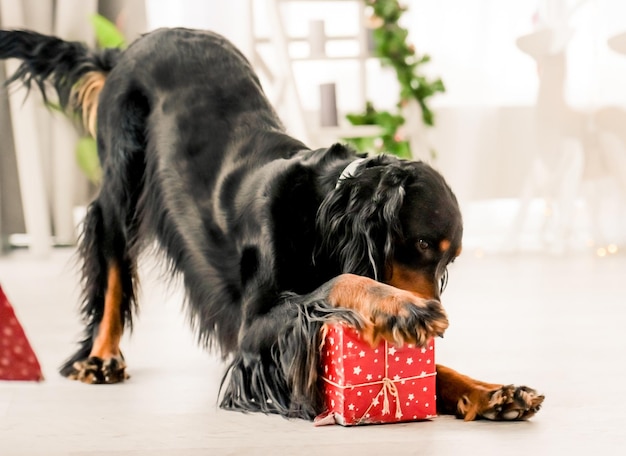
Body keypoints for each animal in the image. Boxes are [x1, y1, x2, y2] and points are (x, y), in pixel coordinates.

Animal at [0, 27, 540, 420]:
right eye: (424, 243)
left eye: (450, 258)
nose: (432, 316)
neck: (321, 213)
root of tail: (130, 46)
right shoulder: (254, 327)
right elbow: (339, 281)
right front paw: (402, 309)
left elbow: (437, 369)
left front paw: (491, 391)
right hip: (122, 177)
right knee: (111, 256)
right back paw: (100, 357)